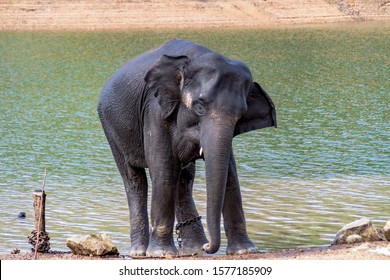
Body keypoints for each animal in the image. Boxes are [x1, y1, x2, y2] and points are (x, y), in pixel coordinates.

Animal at [97, 39, 276, 258]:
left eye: (240, 115)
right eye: (199, 106)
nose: (208, 247)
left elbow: (230, 176)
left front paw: (244, 251)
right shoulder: (155, 110)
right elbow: (164, 170)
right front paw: (161, 254)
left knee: (184, 178)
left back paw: (193, 248)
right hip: (111, 128)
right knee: (135, 180)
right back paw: (139, 252)